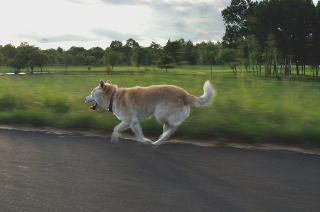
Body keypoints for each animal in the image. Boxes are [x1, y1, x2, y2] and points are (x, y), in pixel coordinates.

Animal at [84, 80, 215, 146]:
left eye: (91, 93)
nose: (85, 98)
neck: (113, 96)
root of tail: (184, 94)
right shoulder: (129, 121)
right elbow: (116, 128)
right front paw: (114, 139)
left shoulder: (133, 122)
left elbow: (139, 136)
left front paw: (145, 141)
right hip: (163, 118)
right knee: (169, 129)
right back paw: (161, 139)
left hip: (160, 114)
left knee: (173, 128)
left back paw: (158, 141)